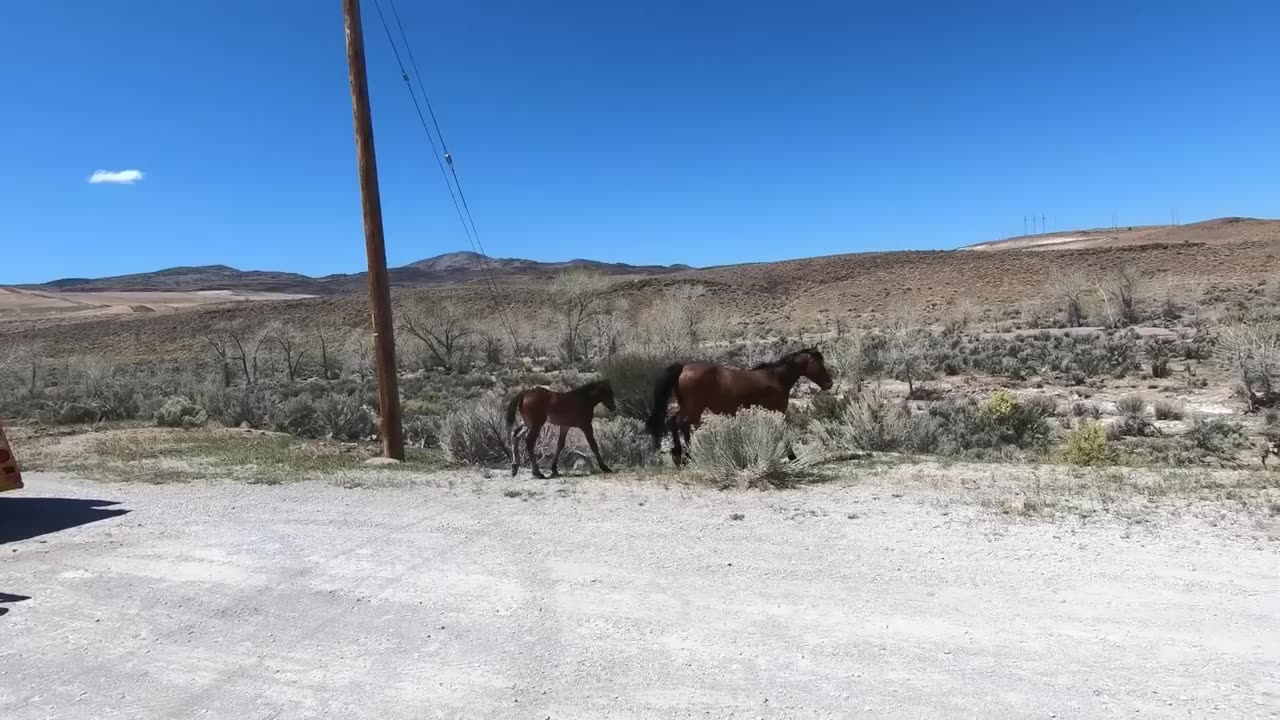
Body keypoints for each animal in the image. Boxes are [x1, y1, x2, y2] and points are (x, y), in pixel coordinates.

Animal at [645, 345, 834, 461]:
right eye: (819, 363)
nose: (829, 383)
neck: (775, 378)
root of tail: (684, 367)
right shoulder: (779, 411)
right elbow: (782, 432)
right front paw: (792, 456)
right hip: (693, 407)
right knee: (681, 424)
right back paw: (686, 456)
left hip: (687, 406)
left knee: (674, 422)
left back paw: (679, 454)